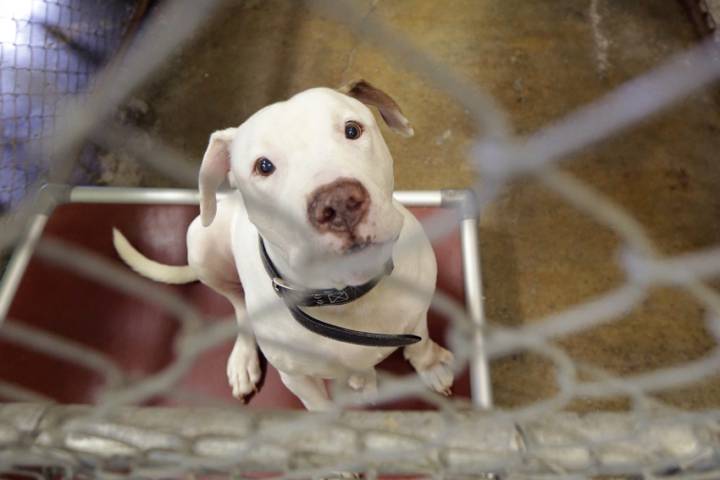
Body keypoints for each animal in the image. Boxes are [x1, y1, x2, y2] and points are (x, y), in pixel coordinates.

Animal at [114, 80, 452, 410]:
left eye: (352, 130)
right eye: (263, 166)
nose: (338, 203)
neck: (349, 298)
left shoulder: (417, 310)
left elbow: (421, 340)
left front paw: (430, 364)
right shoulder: (298, 380)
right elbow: (320, 408)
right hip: (201, 243)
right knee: (239, 306)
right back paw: (244, 360)